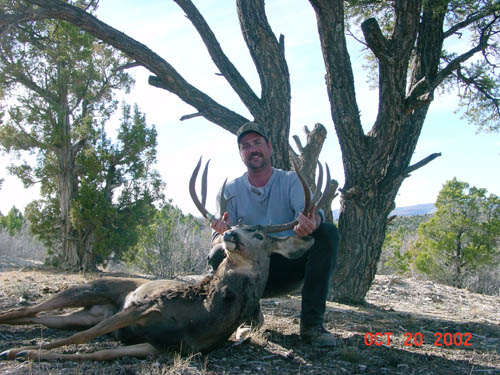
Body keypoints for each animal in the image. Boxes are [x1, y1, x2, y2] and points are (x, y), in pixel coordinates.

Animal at [0, 158, 330, 362]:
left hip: (90, 311)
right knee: (29, 309)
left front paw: (26, 352)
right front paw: (19, 351)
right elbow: (85, 338)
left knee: (41, 318)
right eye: (239, 226)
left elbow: (96, 351)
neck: (204, 311)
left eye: (259, 235)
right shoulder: (143, 306)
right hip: (93, 287)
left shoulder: (163, 347)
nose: (230, 232)